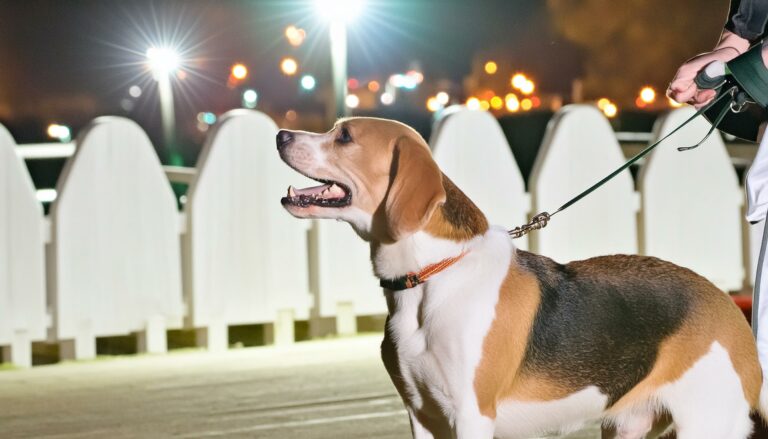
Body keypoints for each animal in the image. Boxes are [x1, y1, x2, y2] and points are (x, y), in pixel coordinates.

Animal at [276, 117, 760, 439]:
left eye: (344, 136)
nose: (281, 134)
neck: (431, 276)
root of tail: (728, 306)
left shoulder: (471, 415)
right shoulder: (422, 416)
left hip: (707, 423)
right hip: (629, 426)